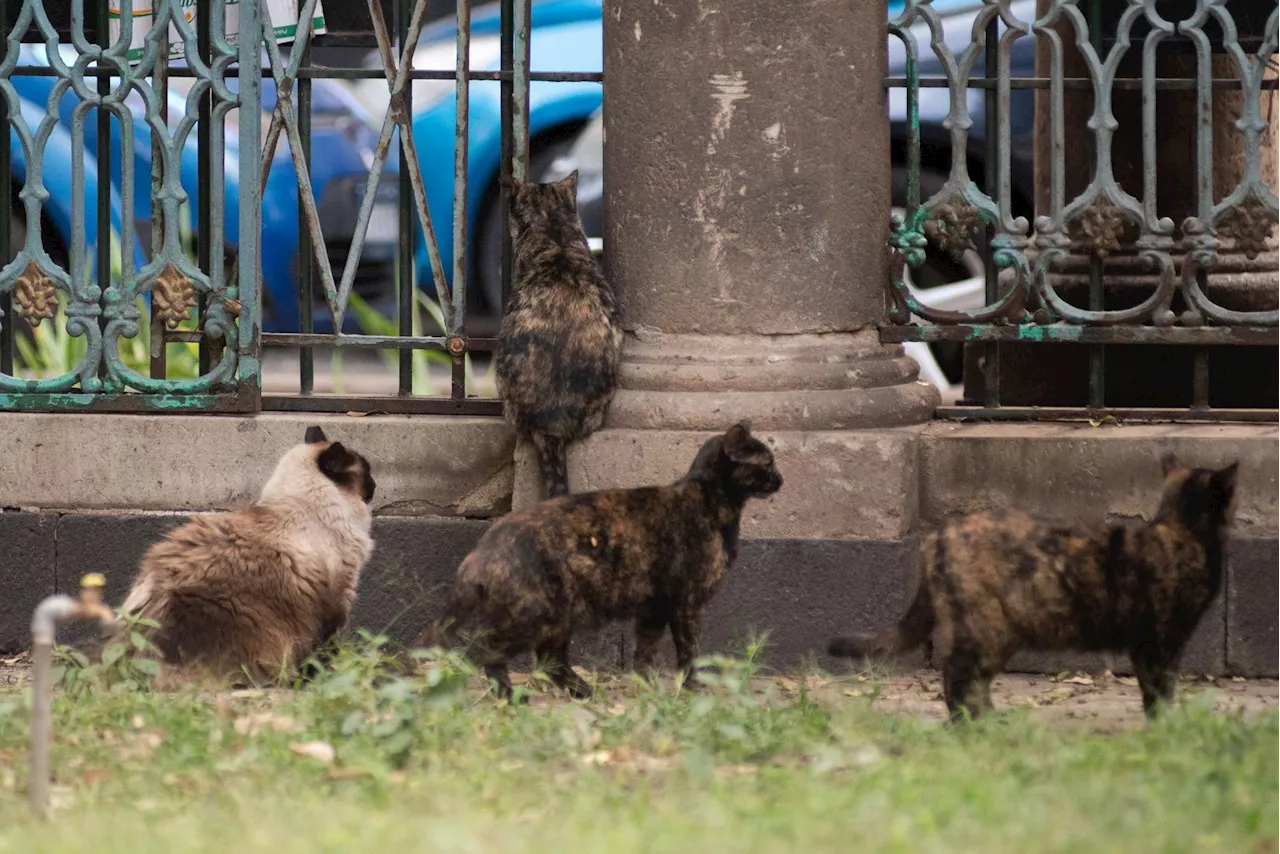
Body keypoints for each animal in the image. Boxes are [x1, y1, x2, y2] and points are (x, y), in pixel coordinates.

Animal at [427, 422, 778, 701]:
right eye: (768, 463)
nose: (781, 479)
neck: (711, 500)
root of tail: (481, 550)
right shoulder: (686, 603)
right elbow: (689, 651)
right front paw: (692, 689)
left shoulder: (653, 607)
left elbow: (644, 651)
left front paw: (645, 687)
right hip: (534, 615)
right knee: (485, 650)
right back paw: (510, 697)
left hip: (557, 619)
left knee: (549, 660)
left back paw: (583, 692)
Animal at [829, 453, 1239, 722]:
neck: (1182, 528)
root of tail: (936, 537)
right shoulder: (1161, 641)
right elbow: (1159, 690)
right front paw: (1164, 728)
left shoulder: (1148, 645)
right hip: (988, 630)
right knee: (956, 676)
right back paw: (976, 727)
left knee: (970, 680)